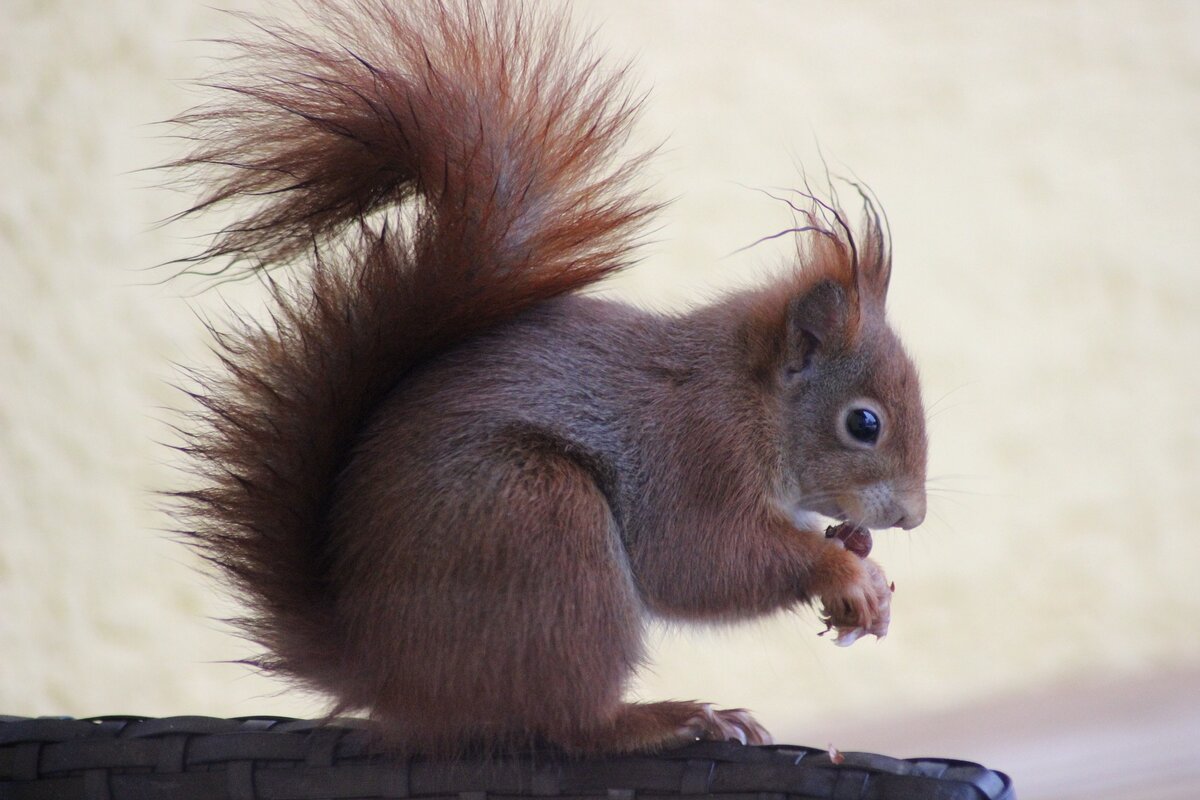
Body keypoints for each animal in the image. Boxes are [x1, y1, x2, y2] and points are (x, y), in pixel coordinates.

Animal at [169, 0, 926, 758]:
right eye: (863, 423)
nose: (913, 517)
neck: (755, 399)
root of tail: (386, 674)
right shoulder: (696, 455)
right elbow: (702, 560)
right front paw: (843, 570)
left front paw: (858, 553)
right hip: (546, 533)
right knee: (566, 721)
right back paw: (668, 718)